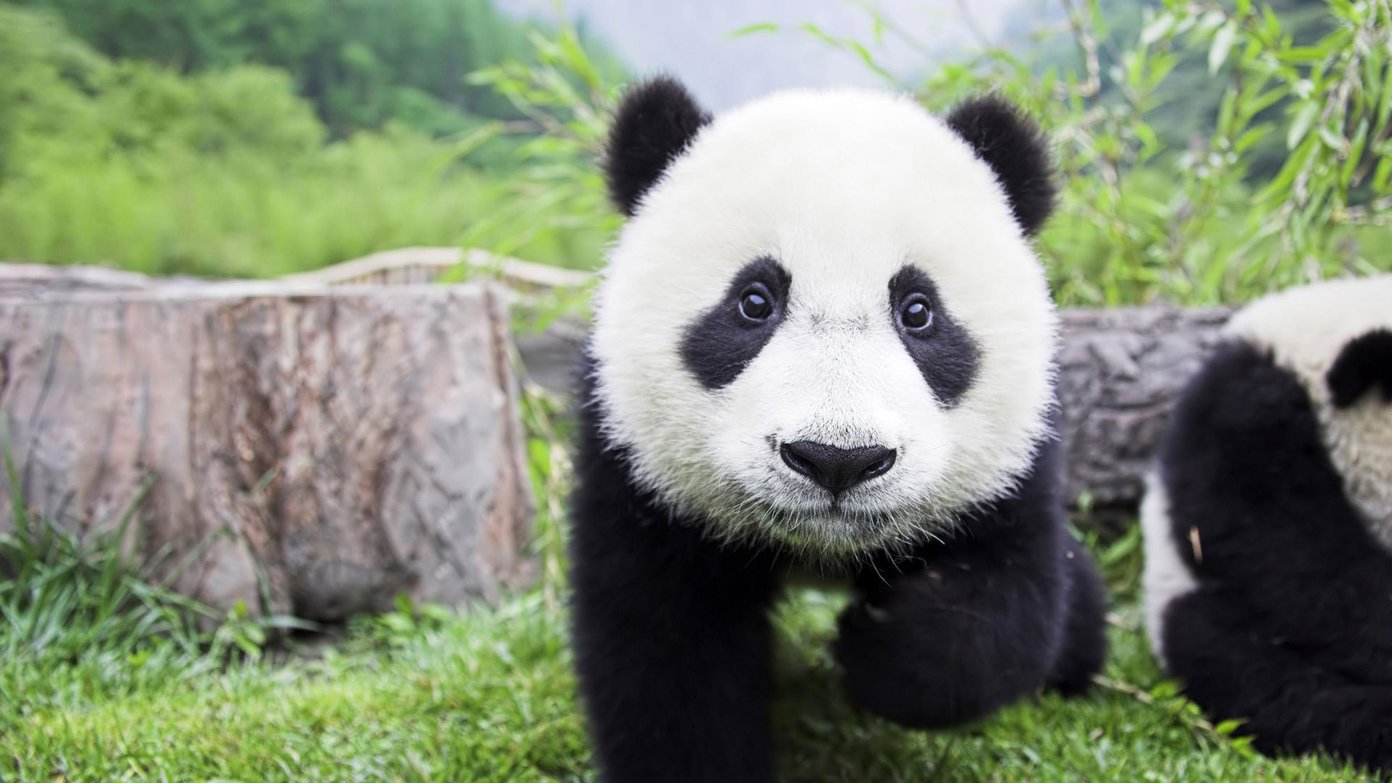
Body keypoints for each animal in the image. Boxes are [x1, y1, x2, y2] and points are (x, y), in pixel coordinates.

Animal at [571, 76, 1108, 783]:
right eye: (754, 301)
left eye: (918, 311)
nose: (837, 460)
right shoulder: (637, 468)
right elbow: (665, 653)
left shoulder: (1013, 463)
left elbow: (1006, 602)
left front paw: (880, 645)